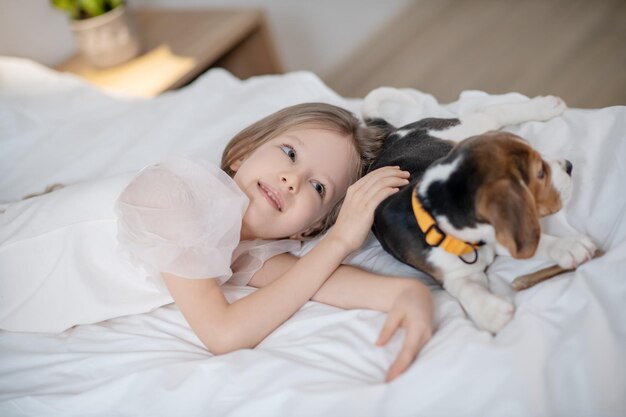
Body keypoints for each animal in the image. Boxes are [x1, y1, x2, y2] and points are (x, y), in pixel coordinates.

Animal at [366, 88, 596, 332]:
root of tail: (392, 136)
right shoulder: (454, 272)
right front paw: (491, 312)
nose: (569, 166)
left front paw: (568, 246)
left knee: (492, 112)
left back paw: (546, 106)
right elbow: (466, 288)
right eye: (540, 173)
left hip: (466, 127)